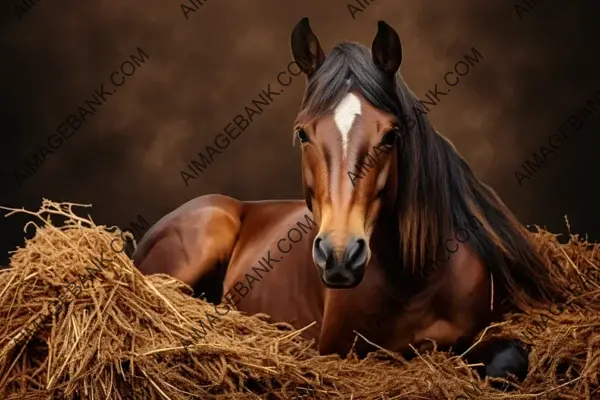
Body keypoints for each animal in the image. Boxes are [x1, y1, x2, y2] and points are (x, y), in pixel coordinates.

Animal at [132, 18, 564, 382]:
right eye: (303, 133)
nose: (340, 256)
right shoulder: (342, 349)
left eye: (391, 135)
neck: (416, 279)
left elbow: (506, 357)